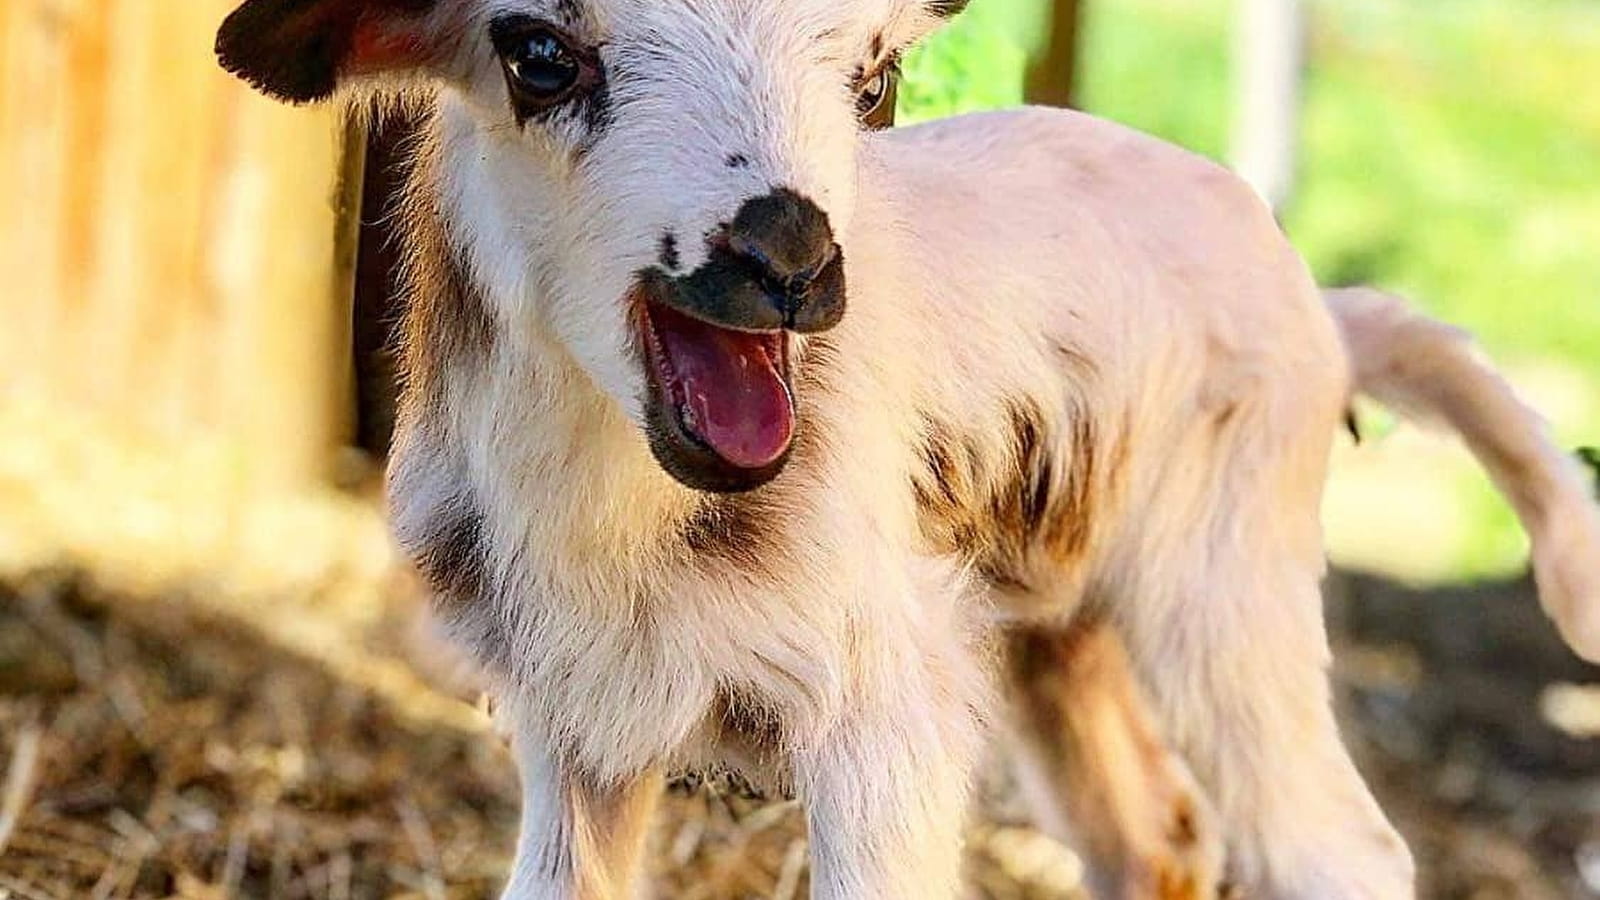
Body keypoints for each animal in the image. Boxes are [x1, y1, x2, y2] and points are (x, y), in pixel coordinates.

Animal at [216, 3, 1600, 890]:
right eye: (538, 55)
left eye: (871, 80)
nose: (787, 258)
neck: (614, 515)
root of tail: (1323, 305)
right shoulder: (575, 726)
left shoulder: (891, 714)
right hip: (1056, 627)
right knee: (1154, 836)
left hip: (1224, 576)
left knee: (1332, 848)